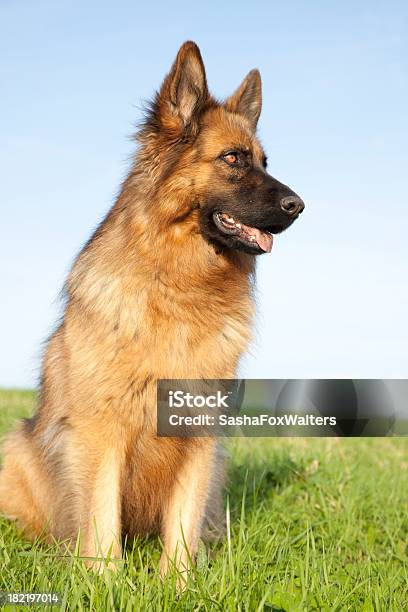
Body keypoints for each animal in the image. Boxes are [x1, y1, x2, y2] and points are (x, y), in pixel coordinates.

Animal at [0, 41, 302, 580]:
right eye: (233, 158)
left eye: (266, 162)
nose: (301, 205)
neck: (180, 290)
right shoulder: (102, 433)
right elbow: (101, 520)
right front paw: (105, 582)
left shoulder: (200, 435)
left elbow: (182, 522)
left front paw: (178, 585)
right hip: (18, 447)